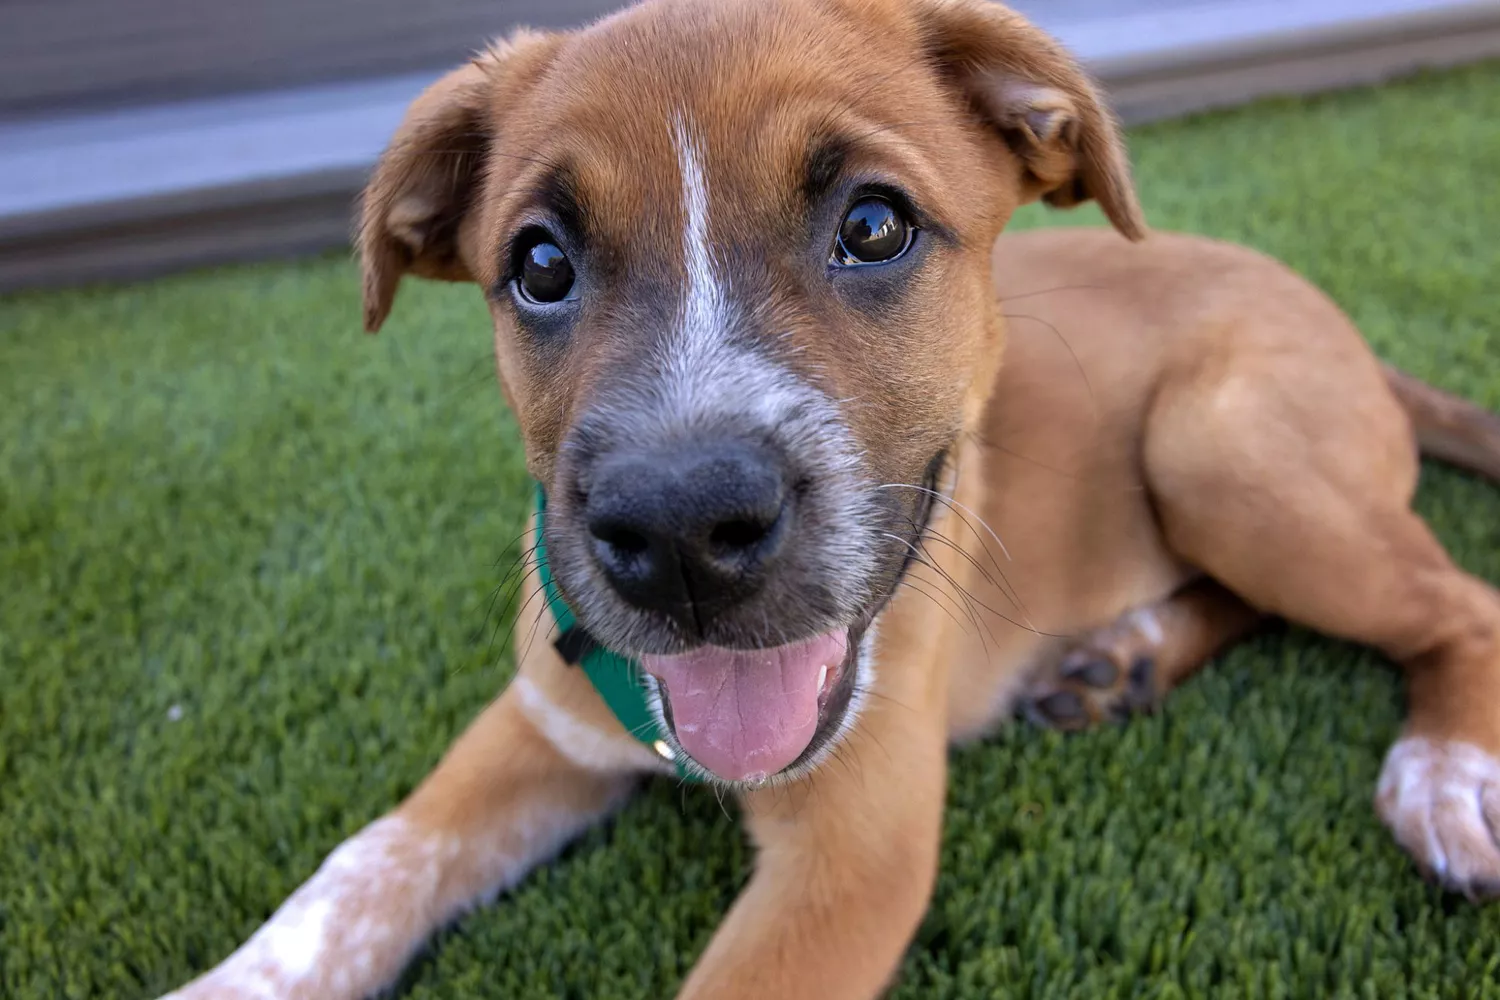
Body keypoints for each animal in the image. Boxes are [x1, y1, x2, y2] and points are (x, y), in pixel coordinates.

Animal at [158, 0, 1500, 995]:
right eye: (538, 263)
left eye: (873, 224)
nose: (682, 531)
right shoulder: (538, 717)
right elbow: (363, 862)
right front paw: (230, 983)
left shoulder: (850, 860)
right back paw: (1125, 655)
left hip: (1217, 446)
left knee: (1458, 602)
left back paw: (1443, 772)